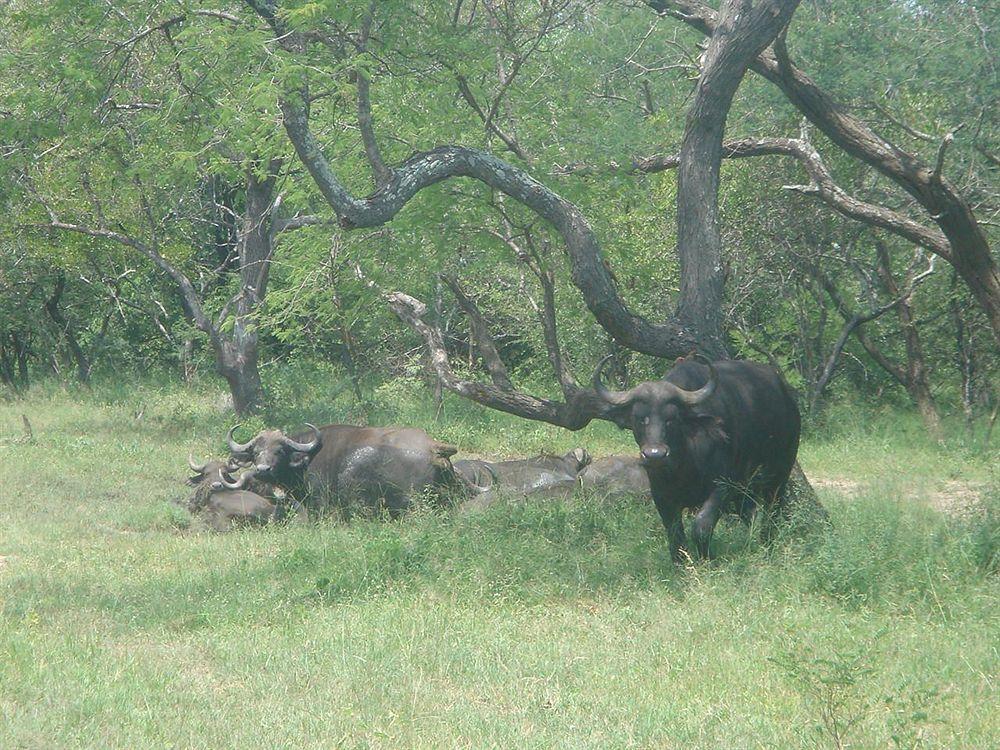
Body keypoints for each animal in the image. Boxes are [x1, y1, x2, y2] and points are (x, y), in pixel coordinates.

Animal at [592, 356, 804, 560]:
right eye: (640, 418)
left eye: (672, 419)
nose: (655, 455)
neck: (684, 464)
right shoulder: (661, 494)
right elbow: (674, 534)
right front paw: (681, 563)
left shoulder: (722, 486)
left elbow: (701, 526)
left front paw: (707, 559)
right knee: (750, 513)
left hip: (779, 473)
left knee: (772, 511)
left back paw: (767, 545)